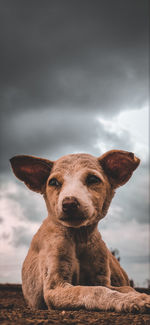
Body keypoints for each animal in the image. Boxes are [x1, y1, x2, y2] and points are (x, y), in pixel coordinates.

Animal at [9, 149, 149, 312]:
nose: (69, 203)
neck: (79, 237)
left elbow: (123, 288)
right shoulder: (54, 288)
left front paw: (137, 295)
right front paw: (134, 300)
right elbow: (93, 291)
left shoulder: (101, 279)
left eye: (93, 179)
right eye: (53, 182)